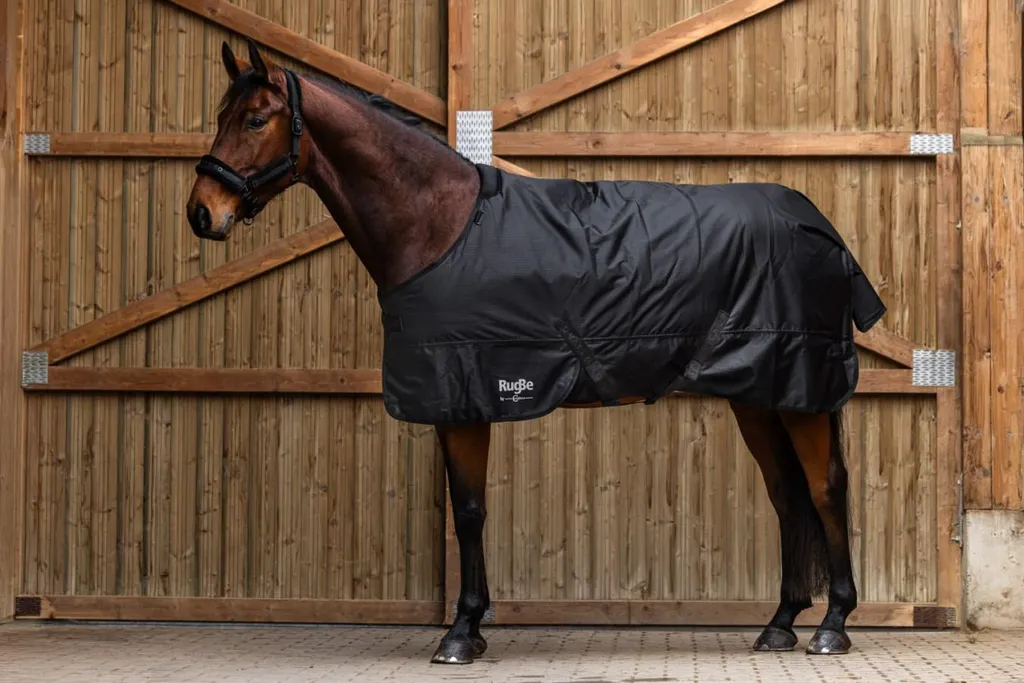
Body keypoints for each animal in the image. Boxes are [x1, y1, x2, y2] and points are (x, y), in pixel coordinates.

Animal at [186, 39, 888, 665]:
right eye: (220, 116)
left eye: (255, 119)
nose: (201, 213)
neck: (439, 227)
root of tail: (820, 226)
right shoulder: (454, 396)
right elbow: (468, 510)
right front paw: (471, 627)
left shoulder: (465, 393)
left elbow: (470, 512)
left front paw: (460, 634)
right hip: (758, 394)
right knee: (787, 495)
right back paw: (780, 624)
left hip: (799, 390)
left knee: (825, 488)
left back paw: (832, 625)